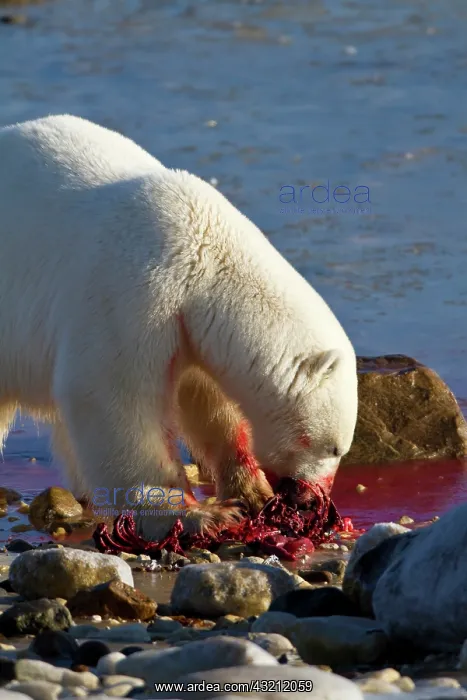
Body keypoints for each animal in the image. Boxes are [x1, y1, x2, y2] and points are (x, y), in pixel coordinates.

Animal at [0, 114, 358, 541]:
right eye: (334, 449)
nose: (310, 499)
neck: (203, 256)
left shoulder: (186, 325)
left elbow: (204, 399)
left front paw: (251, 490)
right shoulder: (133, 291)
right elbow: (113, 396)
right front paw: (197, 514)